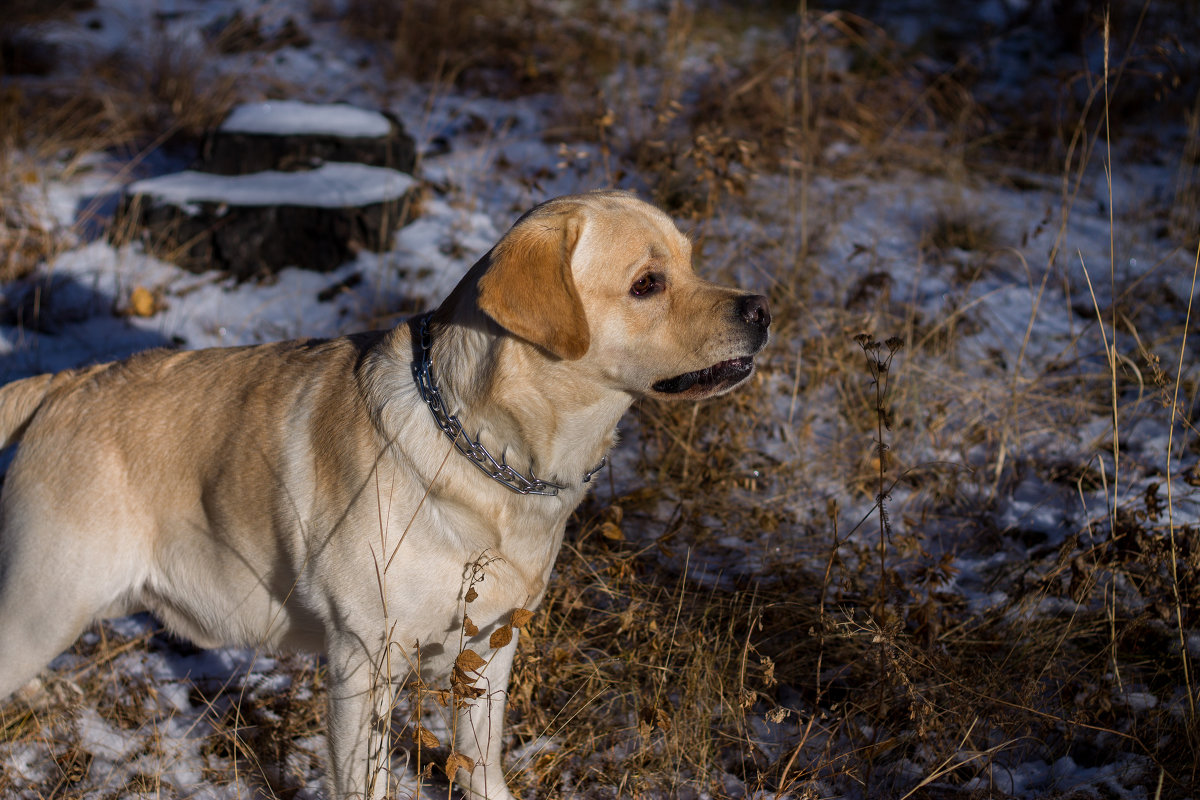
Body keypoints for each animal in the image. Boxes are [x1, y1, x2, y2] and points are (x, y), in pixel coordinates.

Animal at [0, 190, 768, 796]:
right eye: (647, 283)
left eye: (691, 262)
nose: (762, 307)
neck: (488, 451)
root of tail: (63, 385)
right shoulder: (362, 660)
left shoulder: (489, 645)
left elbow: (481, 766)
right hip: (47, 603)